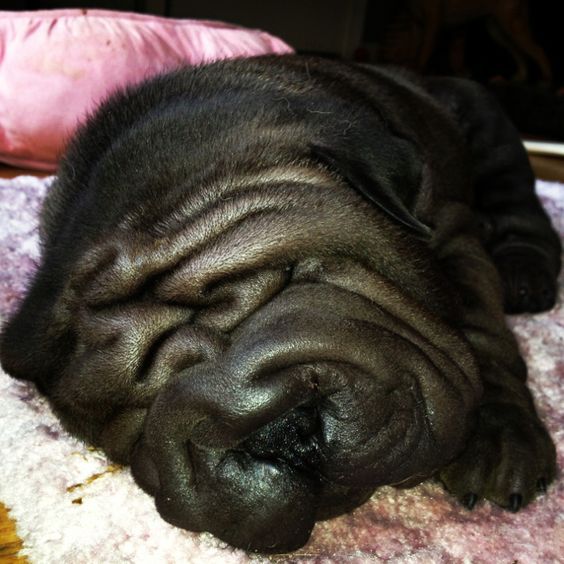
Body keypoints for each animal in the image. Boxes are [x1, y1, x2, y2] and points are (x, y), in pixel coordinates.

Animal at [1, 56, 560, 552]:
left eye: (293, 273)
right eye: (132, 420)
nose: (275, 431)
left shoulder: (451, 225)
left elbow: (484, 330)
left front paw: (500, 441)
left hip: (489, 127)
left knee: (519, 204)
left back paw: (526, 276)